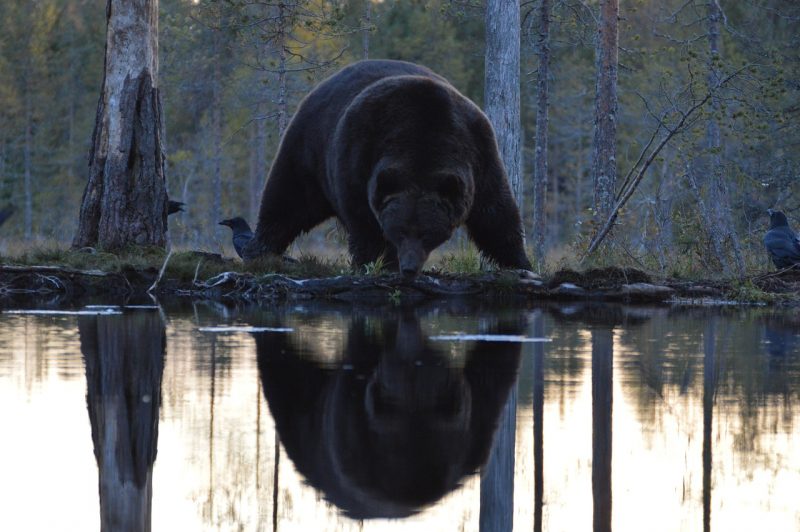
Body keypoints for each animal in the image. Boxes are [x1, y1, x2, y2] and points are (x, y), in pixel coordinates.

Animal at [243, 59, 532, 276]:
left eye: (427, 234)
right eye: (400, 232)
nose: (410, 268)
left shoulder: (479, 152)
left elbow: (495, 214)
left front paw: (519, 262)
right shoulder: (359, 156)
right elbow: (365, 223)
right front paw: (379, 262)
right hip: (308, 150)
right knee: (287, 200)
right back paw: (259, 250)